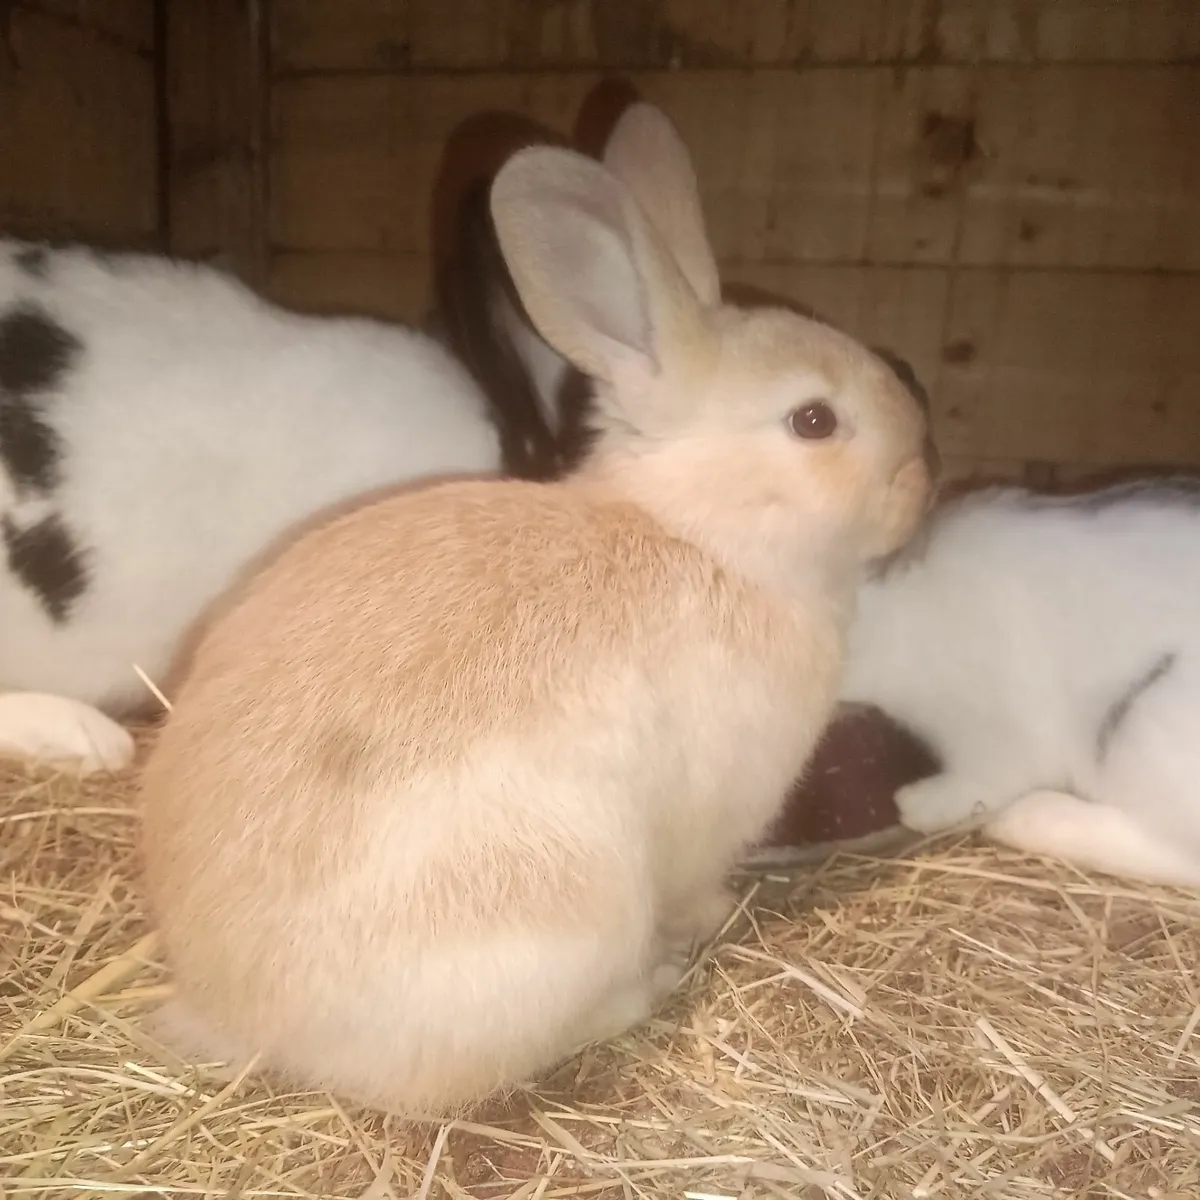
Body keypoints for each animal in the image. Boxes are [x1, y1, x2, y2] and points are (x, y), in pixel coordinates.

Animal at [137, 101, 933, 1118]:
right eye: (814, 422)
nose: (921, 483)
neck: (703, 536)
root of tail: (233, 1010)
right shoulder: (709, 820)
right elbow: (697, 882)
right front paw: (715, 917)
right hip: (562, 912)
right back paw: (652, 983)